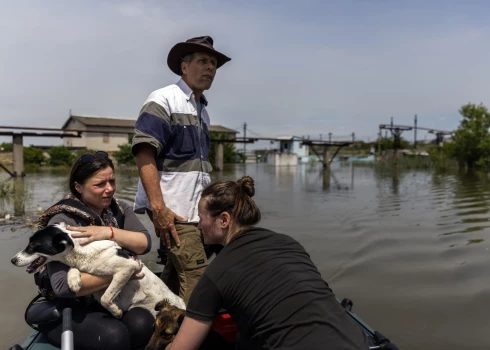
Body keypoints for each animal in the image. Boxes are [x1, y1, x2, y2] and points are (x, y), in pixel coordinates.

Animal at [11, 223, 185, 318]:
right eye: (30, 244)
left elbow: (105, 298)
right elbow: (76, 272)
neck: (82, 252)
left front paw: (116, 312)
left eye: (34, 245)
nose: (12, 260)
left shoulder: (127, 267)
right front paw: (73, 280)